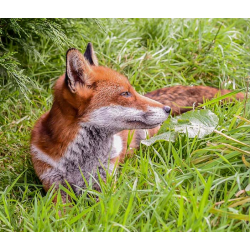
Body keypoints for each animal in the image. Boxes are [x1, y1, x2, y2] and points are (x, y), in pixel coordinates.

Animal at [30, 43, 245, 199]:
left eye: (132, 90)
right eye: (125, 93)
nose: (166, 109)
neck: (80, 163)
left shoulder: (105, 181)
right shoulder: (53, 183)